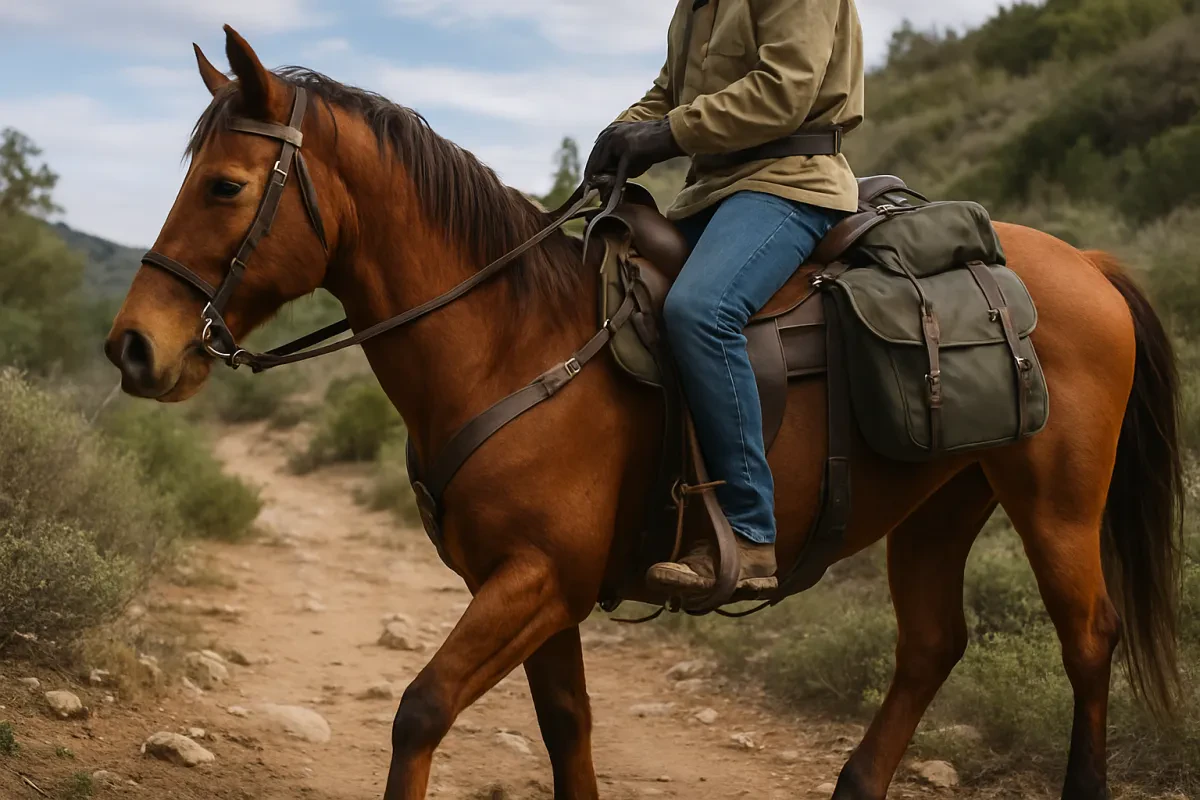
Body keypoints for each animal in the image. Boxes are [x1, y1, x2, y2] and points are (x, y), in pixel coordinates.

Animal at [106, 26, 1183, 800]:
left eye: (226, 185)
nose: (133, 347)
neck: (510, 339)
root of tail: (1090, 264)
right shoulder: (538, 588)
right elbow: (566, 731)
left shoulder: (536, 579)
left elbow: (420, 710)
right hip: (944, 503)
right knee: (931, 645)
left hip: (1056, 504)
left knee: (1088, 638)